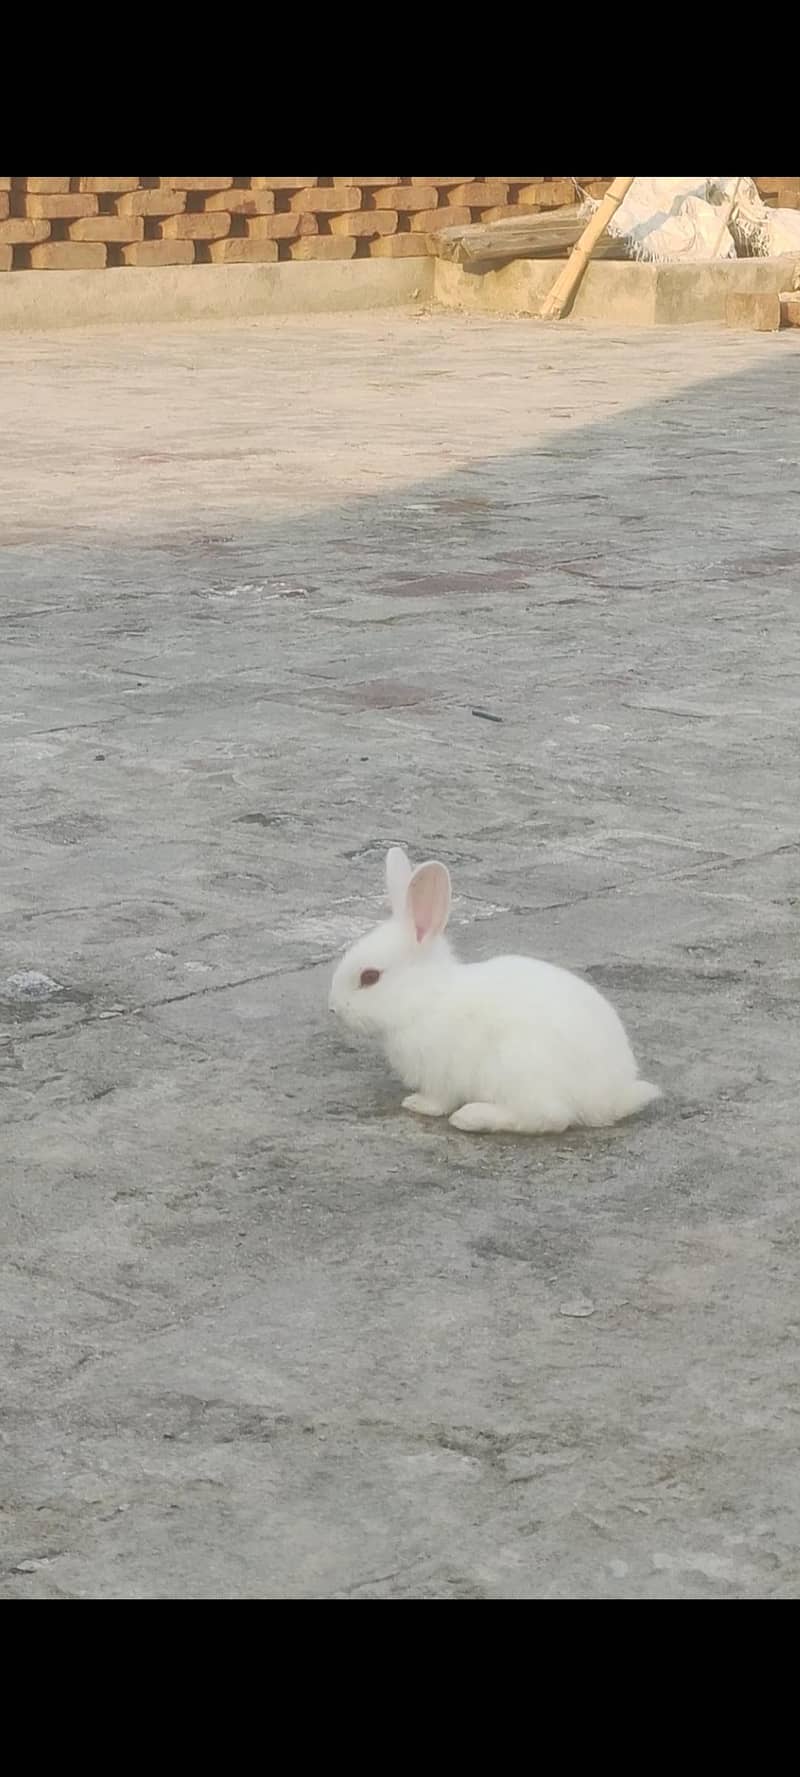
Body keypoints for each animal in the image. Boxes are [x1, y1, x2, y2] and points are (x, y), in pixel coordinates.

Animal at [328, 846, 661, 1134]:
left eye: (370, 977)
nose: (334, 1008)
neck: (425, 999)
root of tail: (611, 1096)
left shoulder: (441, 1076)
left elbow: (438, 1101)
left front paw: (417, 1104)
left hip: (518, 1067)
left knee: (548, 1118)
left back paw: (472, 1117)